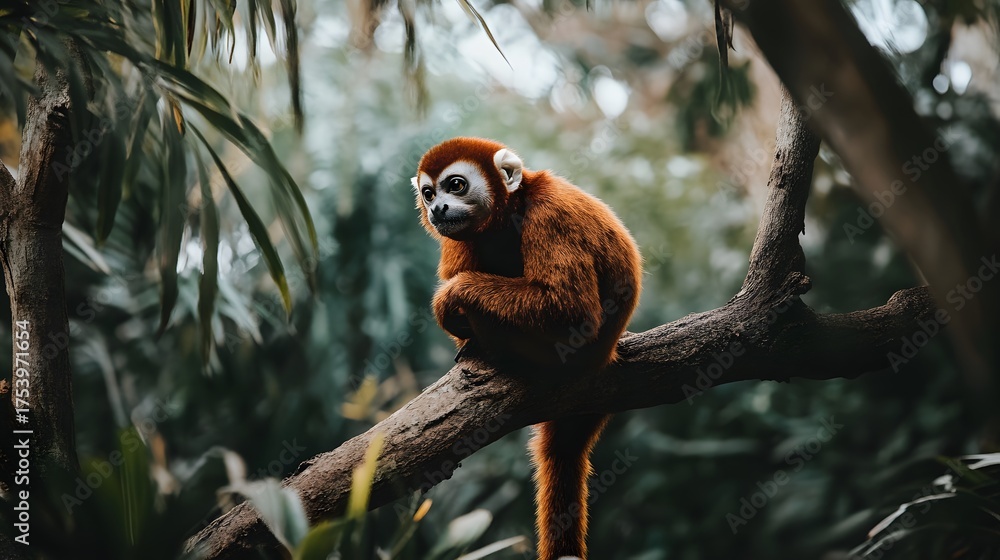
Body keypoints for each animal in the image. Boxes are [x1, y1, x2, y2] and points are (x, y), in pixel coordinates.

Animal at [412, 137, 642, 560]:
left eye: (455, 185)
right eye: (429, 193)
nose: (437, 208)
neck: (510, 214)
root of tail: (603, 357)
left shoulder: (551, 216)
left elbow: (572, 312)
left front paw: (452, 297)